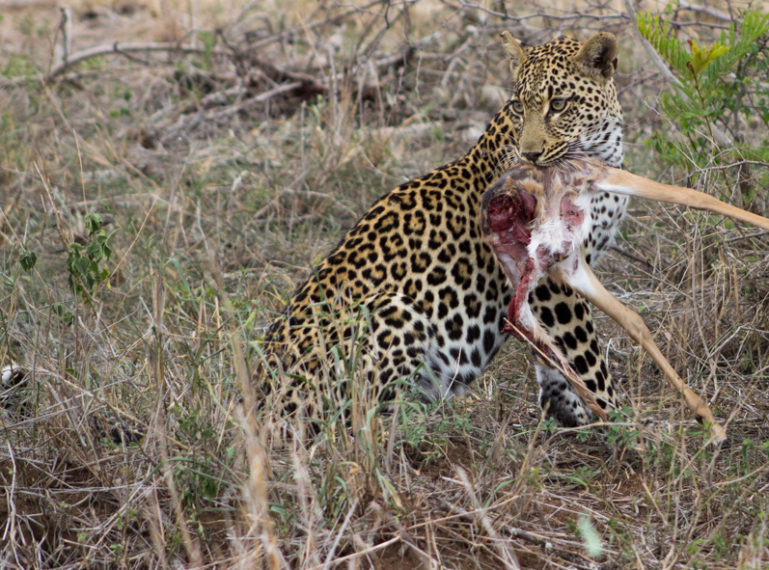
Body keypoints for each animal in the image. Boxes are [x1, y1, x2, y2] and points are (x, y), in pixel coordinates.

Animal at [255, 31, 628, 430]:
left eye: (558, 104)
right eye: (518, 107)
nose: (529, 154)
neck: (598, 154)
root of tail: (261, 401)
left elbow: (553, 356)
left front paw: (570, 414)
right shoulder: (551, 278)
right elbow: (585, 358)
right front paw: (621, 422)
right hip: (395, 309)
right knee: (358, 421)